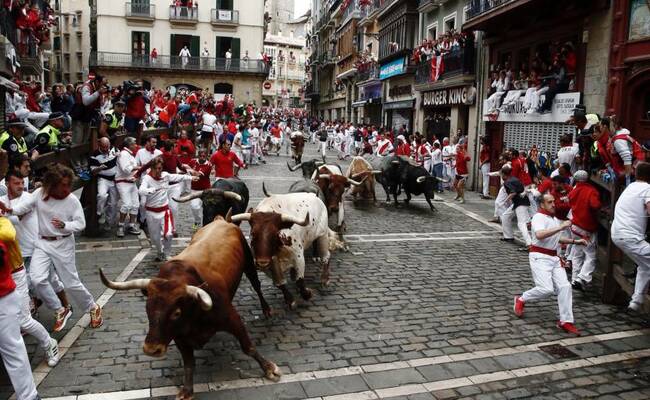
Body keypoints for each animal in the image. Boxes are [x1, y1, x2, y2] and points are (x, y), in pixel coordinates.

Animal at [98, 219, 278, 400]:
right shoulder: (179, 337)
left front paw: (269, 368)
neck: (194, 312)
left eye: (176, 313)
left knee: (257, 285)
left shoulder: (233, 318)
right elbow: (189, 363)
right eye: (147, 308)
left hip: (249, 264)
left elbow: (249, 347)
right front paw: (187, 390)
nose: (151, 349)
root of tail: (222, 220)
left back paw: (267, 309)